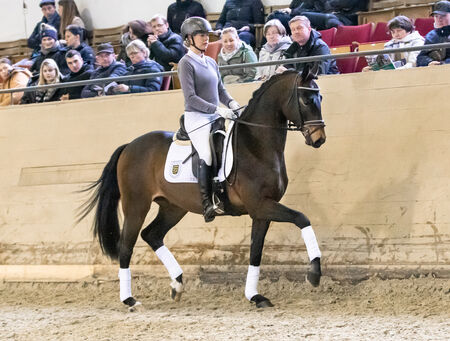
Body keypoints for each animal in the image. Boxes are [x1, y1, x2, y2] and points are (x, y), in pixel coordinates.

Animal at [79, 62, 326, 310]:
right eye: (306, 100)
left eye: (320, 97)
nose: (319, 139)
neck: (255, 145)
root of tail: (129, 146)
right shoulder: (260, 205)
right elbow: (302, 218)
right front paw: (313, 274)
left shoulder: (261, 211)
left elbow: (256, 252)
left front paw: (255, 296)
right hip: (136, 206)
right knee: (126, 246)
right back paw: (130, 299)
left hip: (173, 207)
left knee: (152, 235)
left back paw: (177, 284)